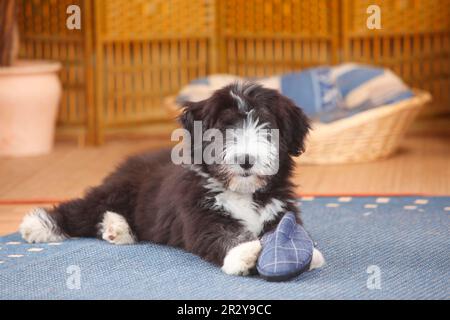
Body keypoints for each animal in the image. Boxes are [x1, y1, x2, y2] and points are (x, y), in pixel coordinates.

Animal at [20, 82, 324, 276]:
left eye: (266, 126)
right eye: (225, 128)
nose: (246, 160)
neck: (244, 192)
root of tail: (131, 161)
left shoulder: (280, 209)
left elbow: (287, 228)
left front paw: (308, 252)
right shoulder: (202, 216)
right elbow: (223, 235)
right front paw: (244, 253)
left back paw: (117, 228)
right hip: (118, 191)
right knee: (81, 210)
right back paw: (37, 225)